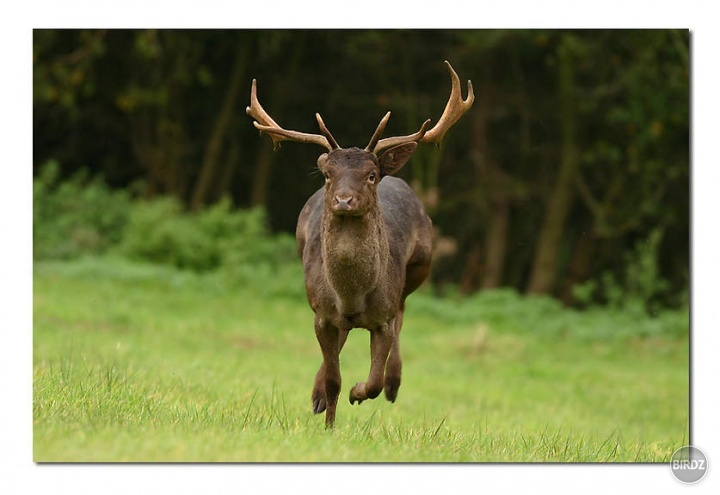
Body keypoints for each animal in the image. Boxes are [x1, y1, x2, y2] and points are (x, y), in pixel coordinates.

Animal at [245, 61, 476, 426]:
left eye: (370, 175)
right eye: (328, 175)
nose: (344, 200)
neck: (351, 296)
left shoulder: (381, 318)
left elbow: (374, 380)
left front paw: (358, 392)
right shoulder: (321, 315)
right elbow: (333, 379)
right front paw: (328, 421)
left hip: (419, 268)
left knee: (402, 314)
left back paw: (395, 382)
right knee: (343, 339)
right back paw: (316, 396)